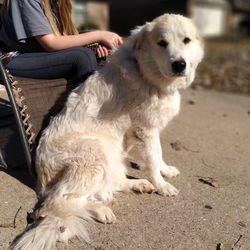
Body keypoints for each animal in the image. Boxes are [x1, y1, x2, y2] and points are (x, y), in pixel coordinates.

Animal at [11, 14, 203, 250]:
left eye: (186, 40)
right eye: (162, 43)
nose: (179, 64)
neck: (145, 73)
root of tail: (41, 182)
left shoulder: (152, 129)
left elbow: (158, 155)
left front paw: (165, 171)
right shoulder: (145, 130)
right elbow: (152, 162)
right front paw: (163, 186)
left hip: (111, 155)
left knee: (107, 186)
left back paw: (138, 185)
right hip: (95, 152)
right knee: (56, 202)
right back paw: (101, 210)